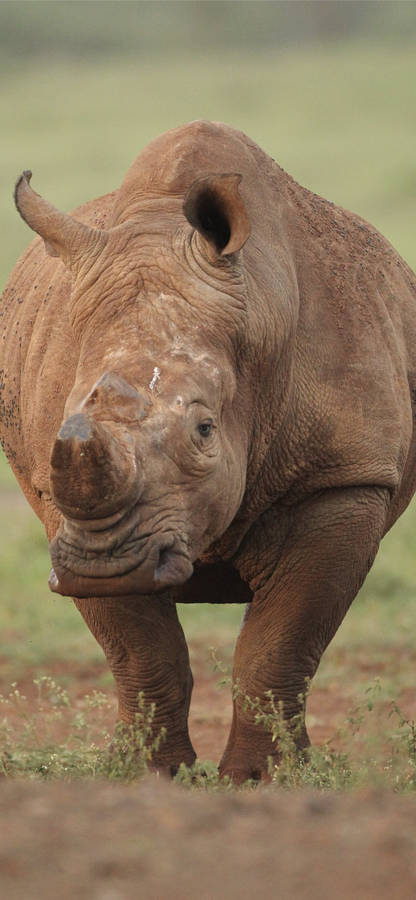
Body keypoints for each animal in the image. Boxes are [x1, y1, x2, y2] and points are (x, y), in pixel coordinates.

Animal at [1, 121, 416, 782]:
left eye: (203, 431)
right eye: (65, 426)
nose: (101, 564)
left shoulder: (345, 477)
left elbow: (280, 643)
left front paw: (262, 780)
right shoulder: (65, 504)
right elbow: (141, 651)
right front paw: (151, 775)